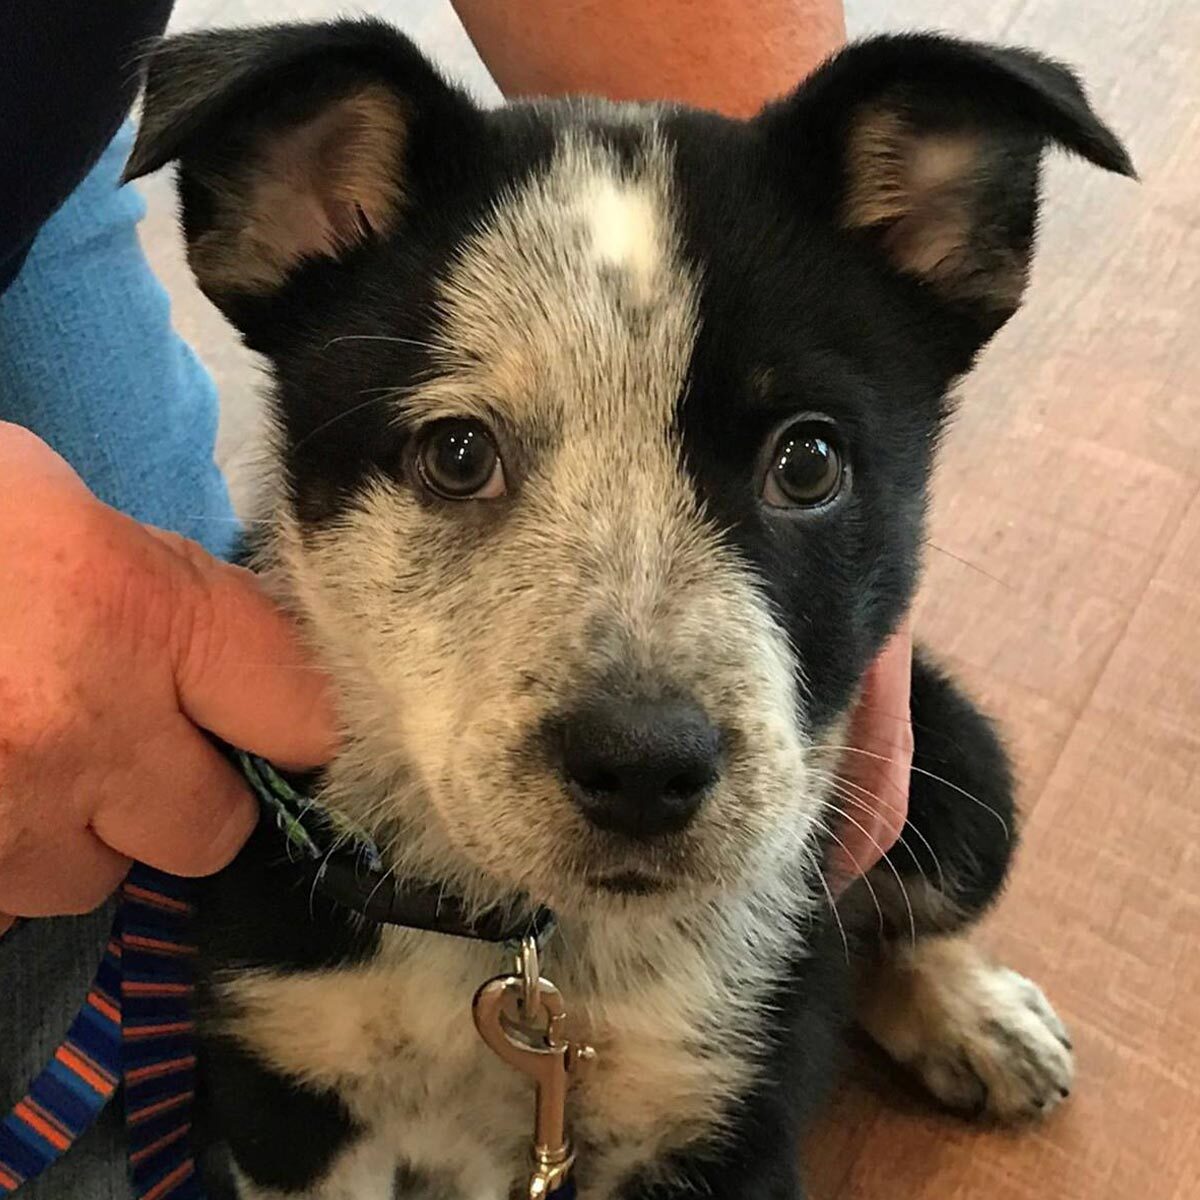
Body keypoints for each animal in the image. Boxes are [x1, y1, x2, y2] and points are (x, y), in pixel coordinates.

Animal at [126, 21, 1128, 1200]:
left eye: (809, 461)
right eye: (456, 454)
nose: (645, 768)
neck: (532, 953)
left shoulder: (723, 1114)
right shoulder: (289, 1102)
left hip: (965, 772)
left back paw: (977, 1014)